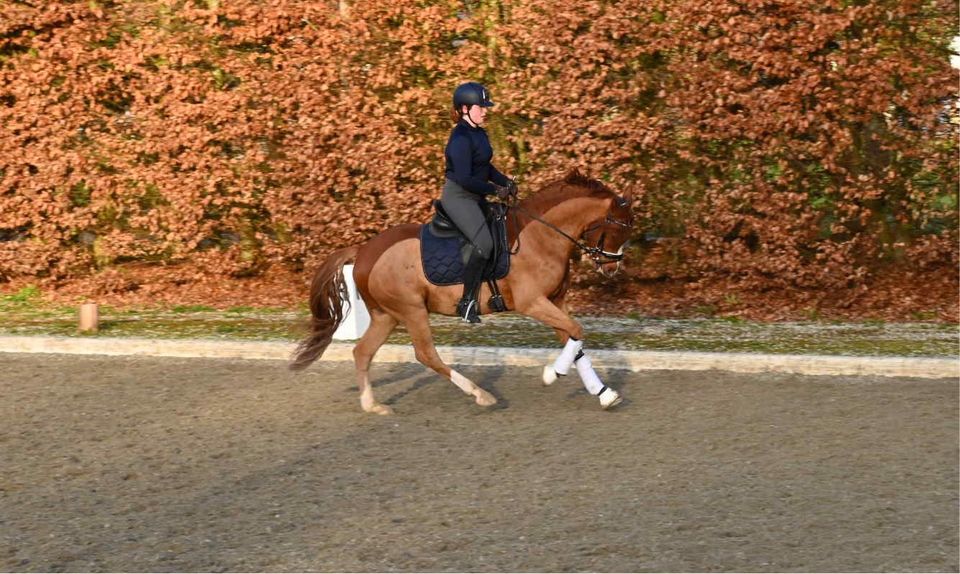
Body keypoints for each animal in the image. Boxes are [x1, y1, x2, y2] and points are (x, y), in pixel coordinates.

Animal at [288, 170, 632, 414]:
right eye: (618, 228)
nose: (612, 267)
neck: (541, 235)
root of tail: (363, 251)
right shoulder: (533, 302)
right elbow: (576, 331)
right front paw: (552, 374)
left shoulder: (555, 301)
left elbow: (575, 339)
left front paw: (605, 395)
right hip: (411, 310)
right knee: (425, 354)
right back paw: (481, 395)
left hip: (387, 315)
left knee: (363, 352)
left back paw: (372, 406)